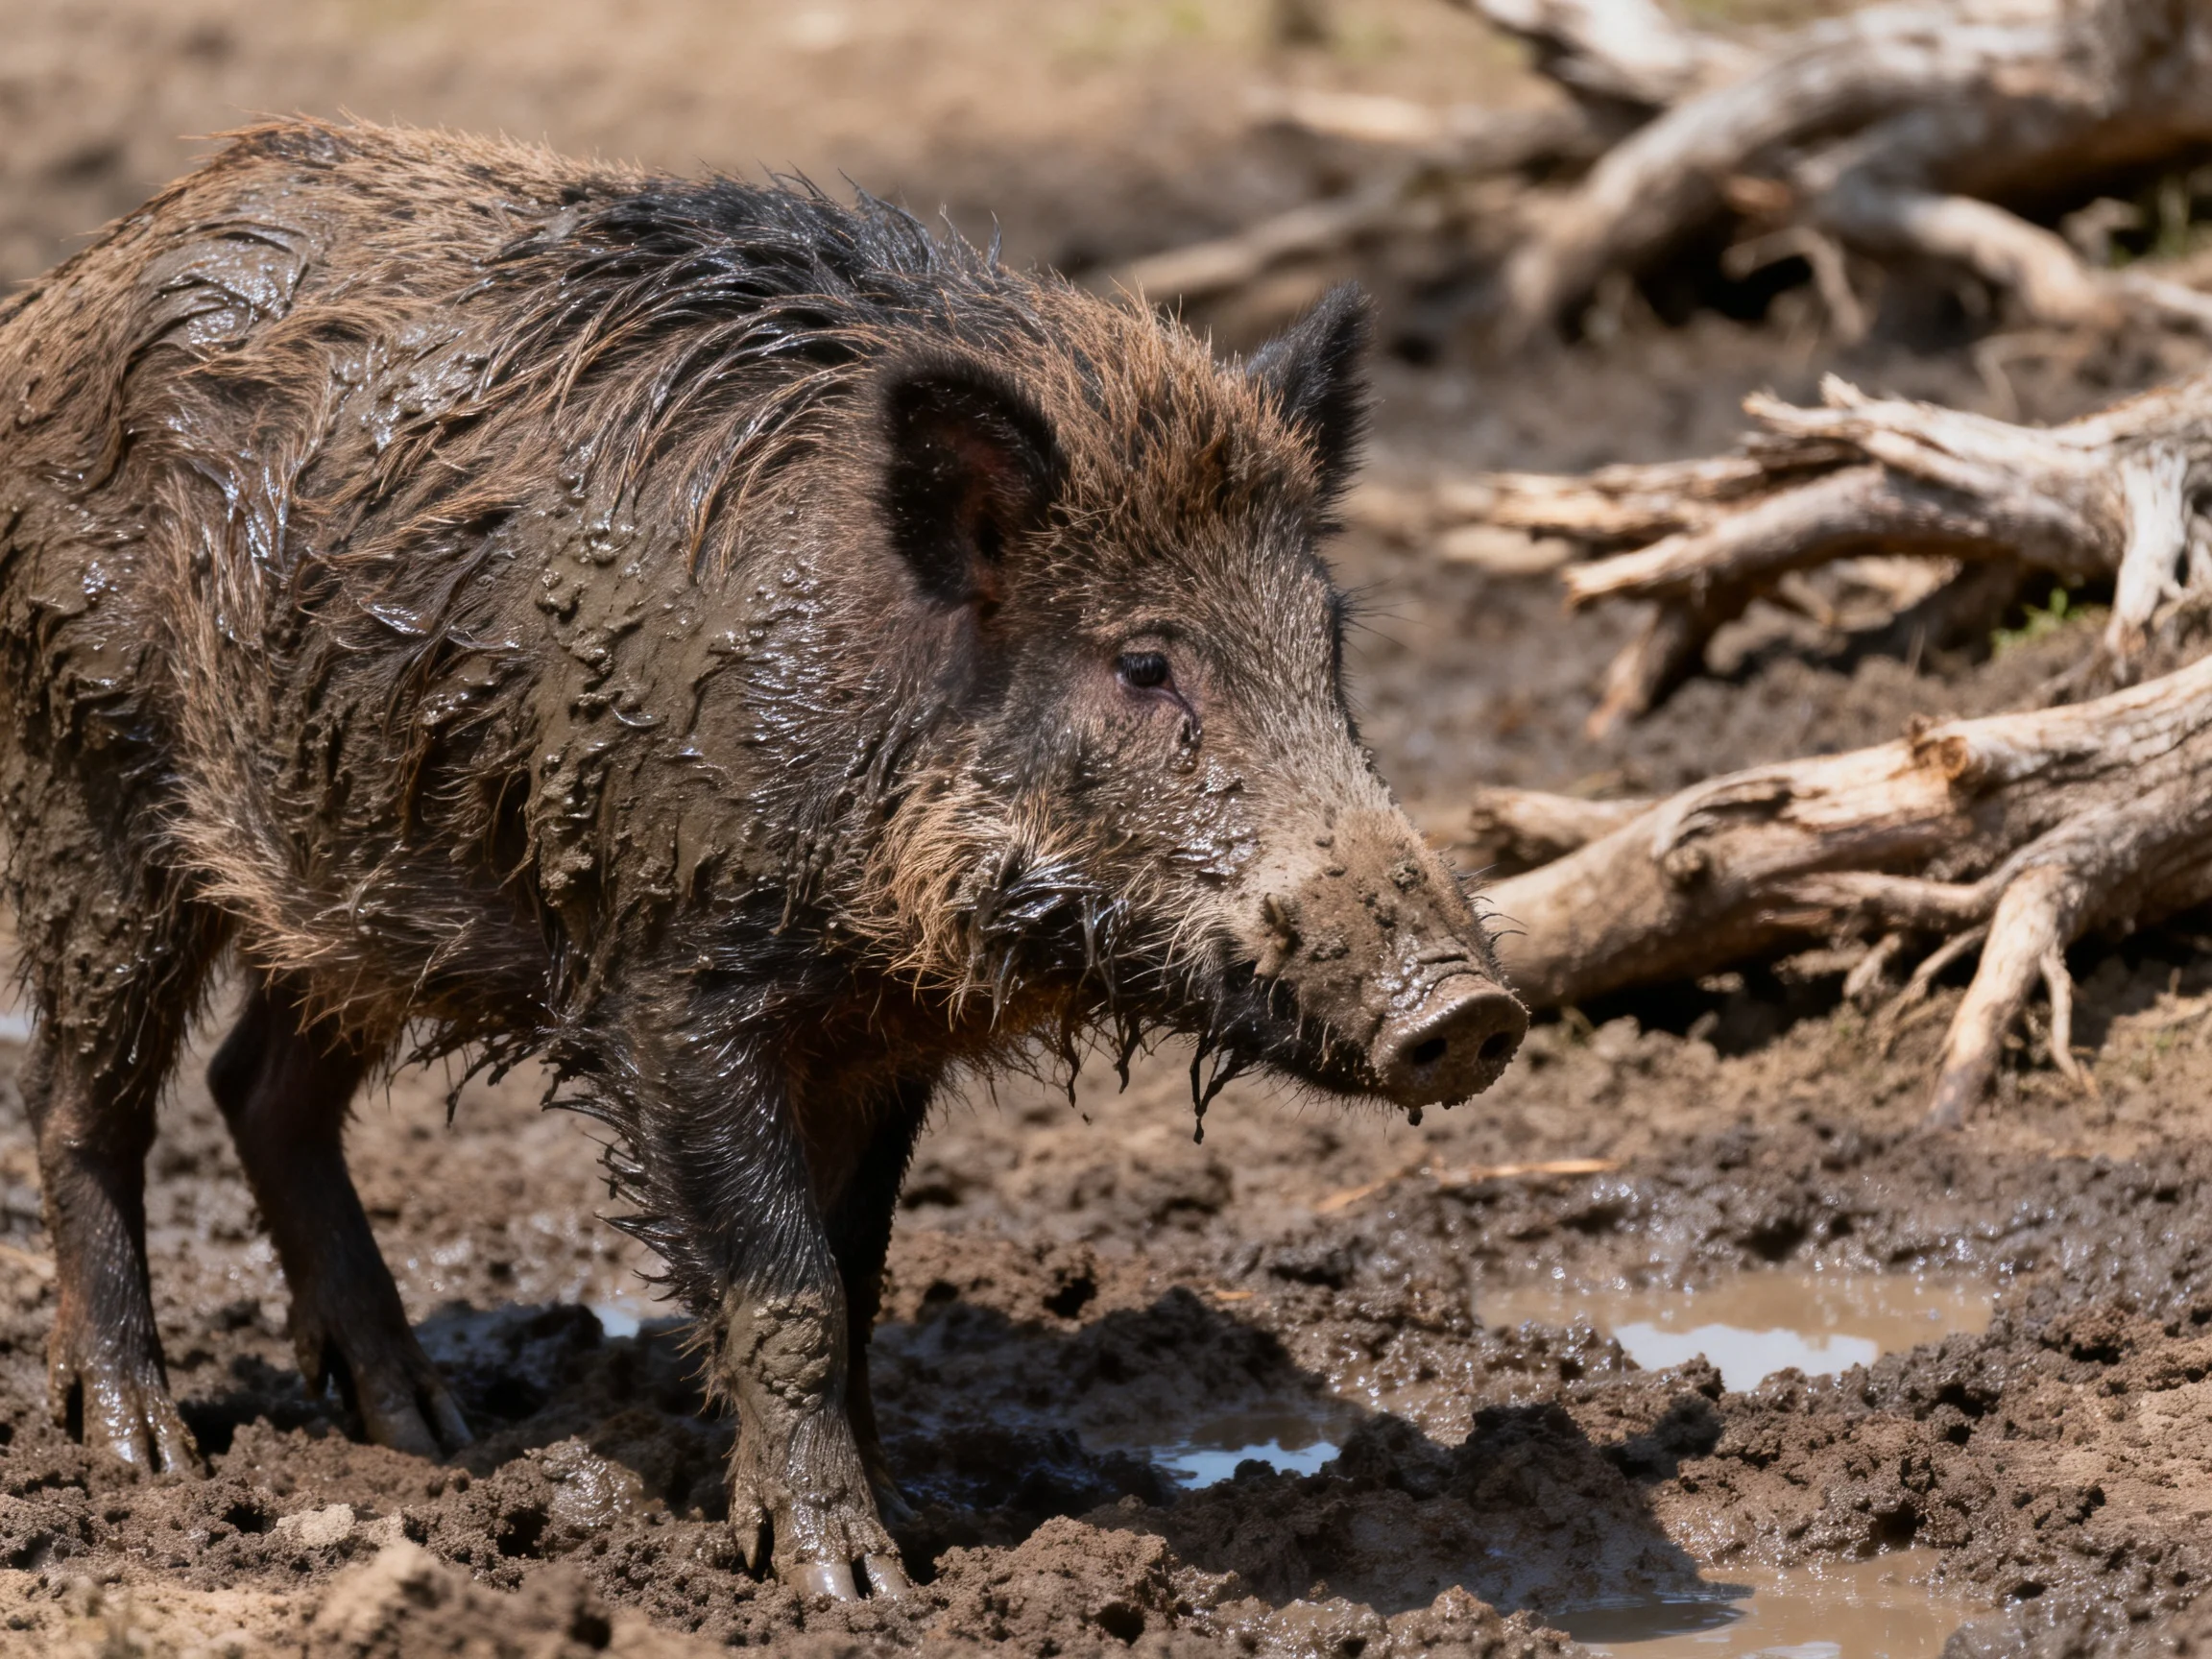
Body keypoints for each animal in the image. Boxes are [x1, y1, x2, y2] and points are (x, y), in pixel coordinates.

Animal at [0, 120, 1525, 1598]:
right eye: (1144, 663)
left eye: (1327, 642)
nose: (1472, 1010)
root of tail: (67, 287)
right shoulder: (670, 990)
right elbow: (784, 1285)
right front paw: (845, 1581)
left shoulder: (886, 1036)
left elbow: (859, 1276)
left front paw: (914, 1523)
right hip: (93, 784)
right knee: (83, 1104)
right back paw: (148, 1452)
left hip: (358, 885)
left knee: (260, 1090)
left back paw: (430, 1434)